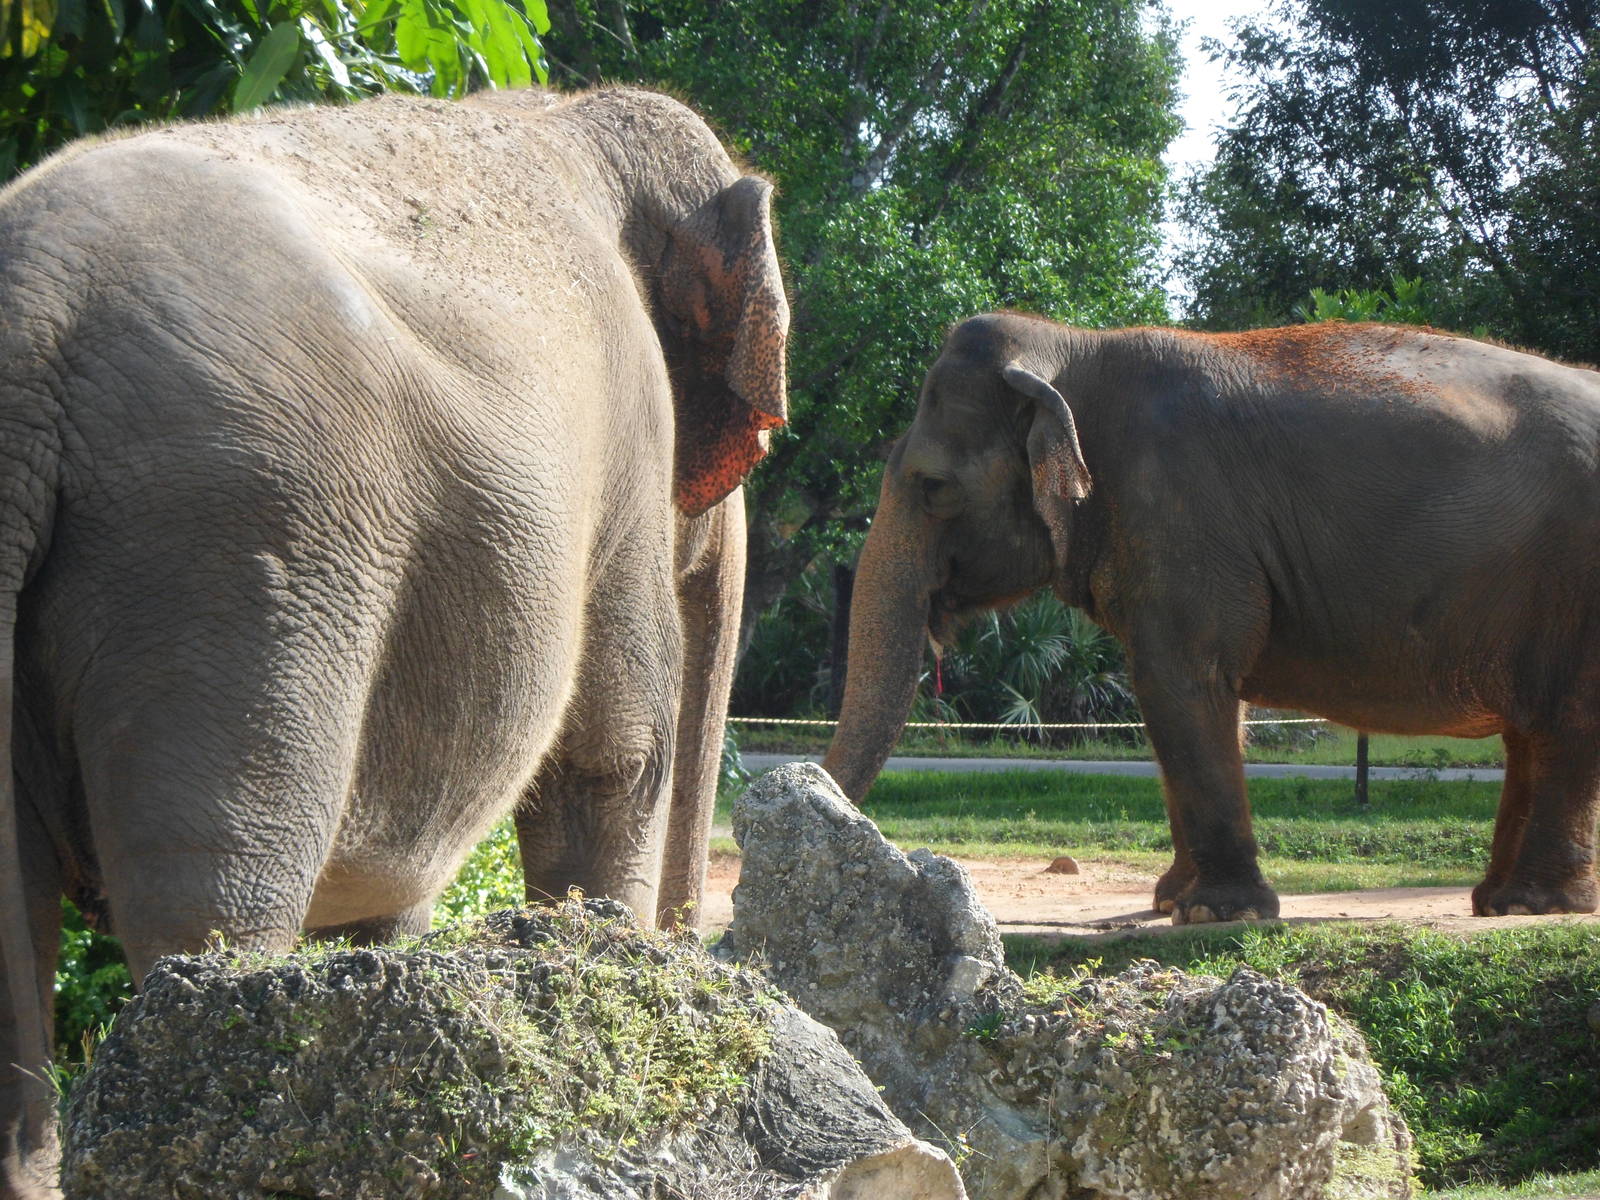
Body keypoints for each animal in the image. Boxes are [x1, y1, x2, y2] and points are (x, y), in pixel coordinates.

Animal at [0, 86, 787, 1198]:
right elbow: (613, 756)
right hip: (239, 552)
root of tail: (30, 319)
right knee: (212, 899)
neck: (569, 114)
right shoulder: (627, 440)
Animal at [824, 311, 1600, 929]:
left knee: (1568, 723)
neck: (1073, 346)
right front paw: (1173, 900)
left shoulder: (1179, 509)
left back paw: (1530, 905)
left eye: (933, 486)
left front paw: (1214, 913)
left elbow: (1180, 681)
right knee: (1533, 729)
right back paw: (1496, 901)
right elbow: (1188, 697)